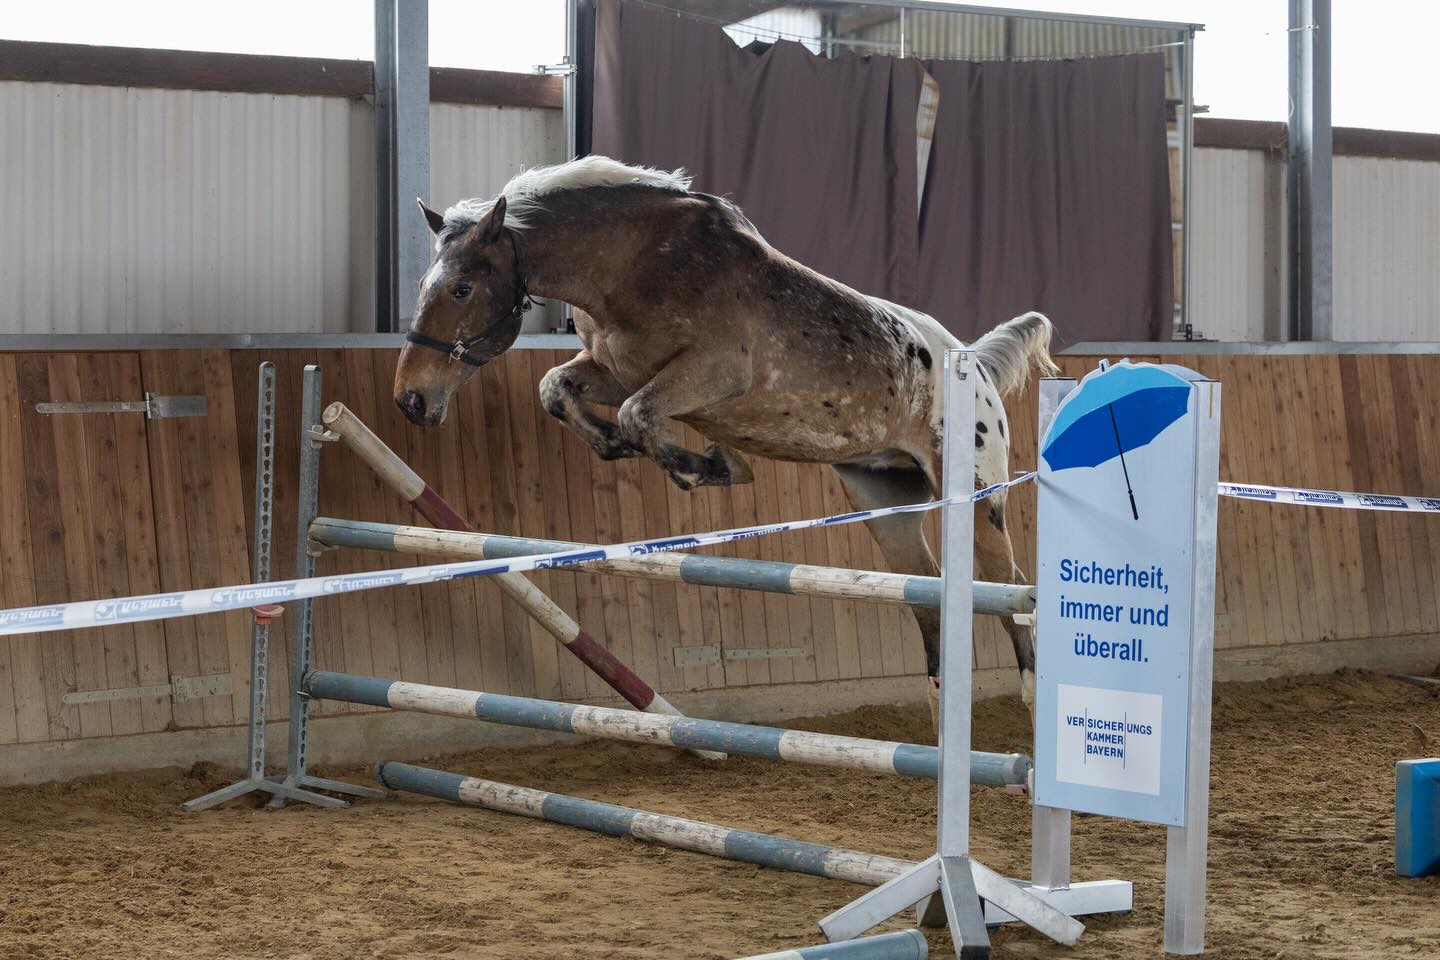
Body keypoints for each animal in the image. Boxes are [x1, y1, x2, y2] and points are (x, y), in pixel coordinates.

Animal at [394, 156, 1058, 713]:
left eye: (461, 289)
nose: (411, 399)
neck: (636, 265)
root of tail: (972, 363)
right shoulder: (614, 370)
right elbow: (557, 389)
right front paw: (631, 449)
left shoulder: (707, 375)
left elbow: (639, 414)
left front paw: (706, 465)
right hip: (883, 500)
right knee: (927, 597)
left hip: (975, 500)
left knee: (1009, 592)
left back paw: (1027, 706)